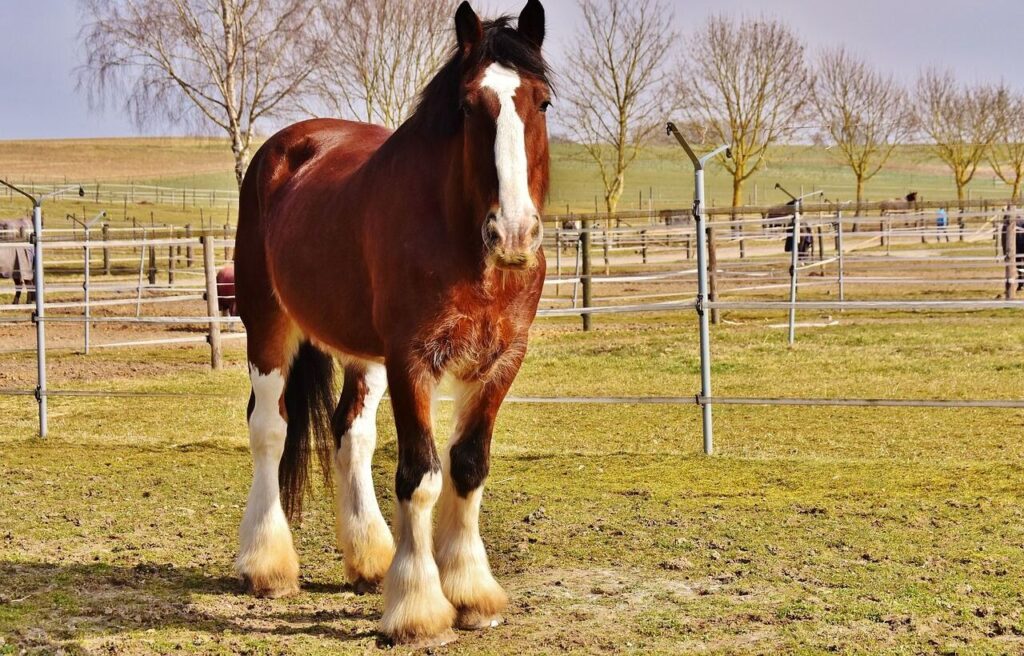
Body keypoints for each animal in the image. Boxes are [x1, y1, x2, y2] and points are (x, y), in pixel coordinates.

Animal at [232, 1, 550, 647]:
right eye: (467, 106)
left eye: (543, 103)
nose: (514, 233)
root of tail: (284, 147)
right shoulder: (412, 359)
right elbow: (420, 475)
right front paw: (419, 609)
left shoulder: (501, 359)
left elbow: (468, 467)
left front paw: (471, 594)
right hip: (268, 327)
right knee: (270, 430)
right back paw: (266, 565)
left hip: (363, 353)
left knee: (350, 432)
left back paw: (370, 559)